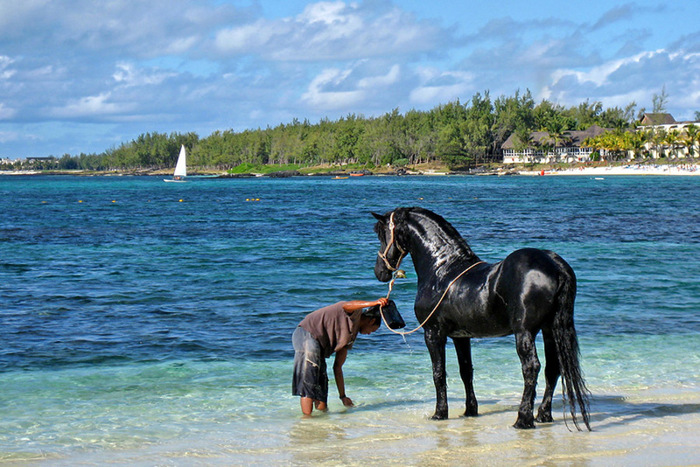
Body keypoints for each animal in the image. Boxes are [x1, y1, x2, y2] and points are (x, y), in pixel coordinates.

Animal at [372, 208, 592, 432]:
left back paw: (523, 419)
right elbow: (466, 371)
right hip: (550, 330)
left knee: (531, 368)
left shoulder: (433, 333)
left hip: (525, 332)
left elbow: (438, 373)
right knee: (552, 369)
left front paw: (440, 413)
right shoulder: (461, 337)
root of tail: (555, 265)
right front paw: (470, 410)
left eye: (383, 235)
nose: (380, 272)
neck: (442, 270)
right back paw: (543, 415)